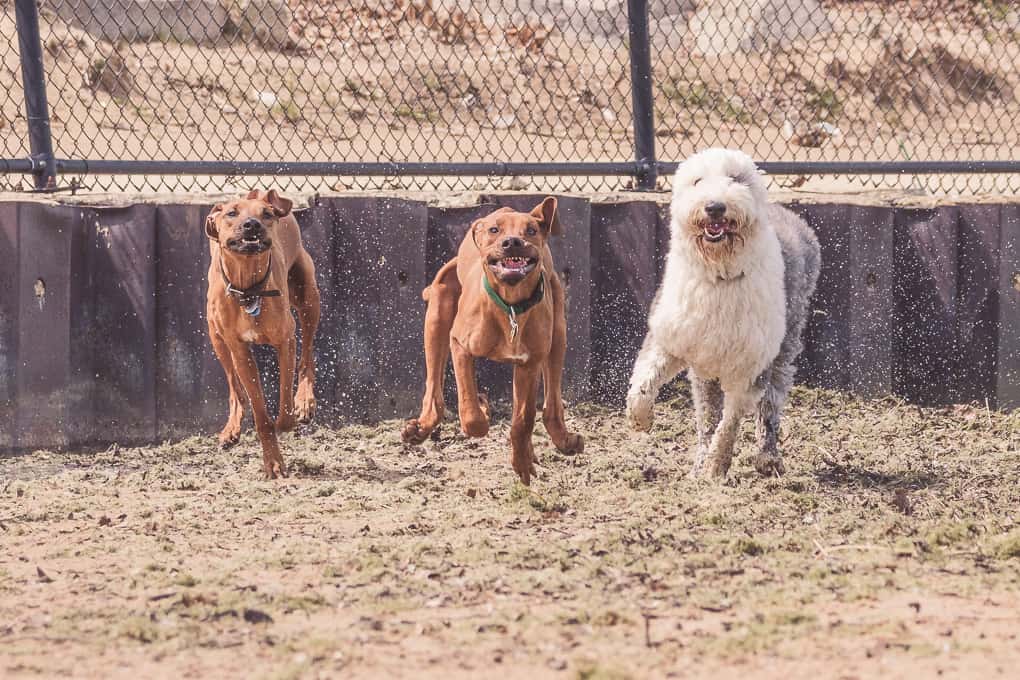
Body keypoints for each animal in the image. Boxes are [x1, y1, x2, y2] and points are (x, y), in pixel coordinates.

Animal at [205, 188, 320, 481]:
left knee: (308, 354)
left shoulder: (286, 340)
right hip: (216, 336)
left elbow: (284, 405)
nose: (252, 225)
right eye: (231, 213)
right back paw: (231, 428)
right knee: (234, 388)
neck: (249, 290)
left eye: (266, 214)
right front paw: (273, 463)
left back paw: (305, 400)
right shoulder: (240, 350)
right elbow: (258, 411)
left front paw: (287, 418)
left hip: (308, 297)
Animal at [403, 196, 587, 483]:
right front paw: (481, 408)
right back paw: (421, 428)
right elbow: (470, 411)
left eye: (531, 230)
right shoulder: (460, 345)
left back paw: (562, 440)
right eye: (494, 230)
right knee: (434, 392)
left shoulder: (529, 364)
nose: (512, 242)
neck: (510, 307)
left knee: (551, 406)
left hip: (558, 336)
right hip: (436, 317)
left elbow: (523, 419)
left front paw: (521, 461)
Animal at [628, 148, 820, 479]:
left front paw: (717, 464)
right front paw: (641, 420)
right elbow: (644, 381)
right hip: (705, 368)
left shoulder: (750, 368)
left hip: (783, 350)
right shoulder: (671, 338)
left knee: (768, 410)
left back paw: (768, 458)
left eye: (736, 178)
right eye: (697, 181)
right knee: (707, 414)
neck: (720, 272)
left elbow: (730, 422)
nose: (715, 207)